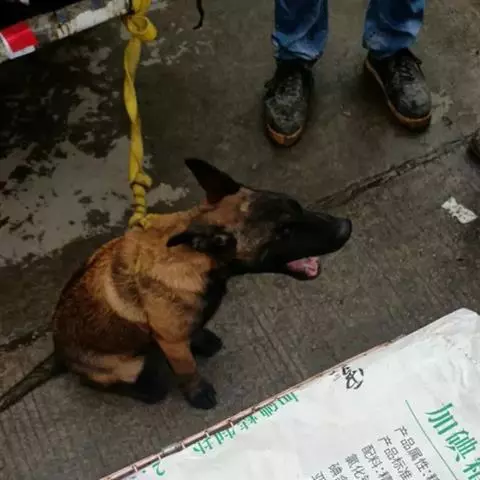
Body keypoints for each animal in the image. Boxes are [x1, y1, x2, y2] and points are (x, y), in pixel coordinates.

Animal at [0, 159, 351, 412]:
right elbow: (187, 369)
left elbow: (193, 333)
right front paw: (197, 392)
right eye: (284, 233)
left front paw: (202, 338)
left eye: (297, 206)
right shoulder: (171, 342)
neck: (196, 258)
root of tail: (58, 352)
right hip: (126, 368)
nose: (346, 226)